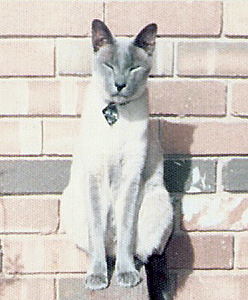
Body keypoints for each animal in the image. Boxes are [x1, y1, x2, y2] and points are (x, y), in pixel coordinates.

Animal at [60, 19, 172, 292]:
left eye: (133, 68)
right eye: (109, 66)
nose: (120, 84)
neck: (116, 114)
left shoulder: (130, 176)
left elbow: (126, 230)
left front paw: (124, 274)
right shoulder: (95, 175)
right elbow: (97, 232)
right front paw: (98, 277)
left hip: (158, 201)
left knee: (142, 253)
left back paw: (129, 269)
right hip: (71, 200)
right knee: (101, 248)